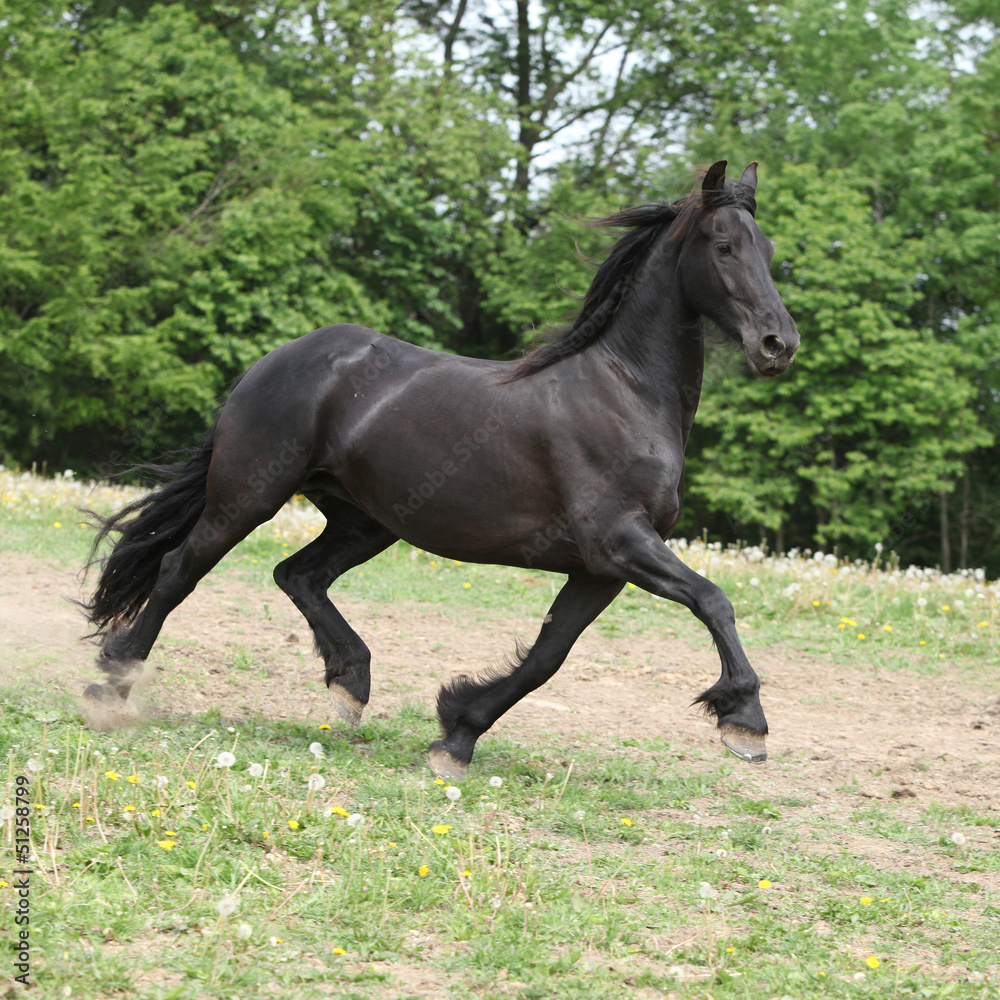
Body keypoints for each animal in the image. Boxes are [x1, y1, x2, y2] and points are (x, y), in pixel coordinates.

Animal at [84, 160, 796, 776]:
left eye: (767, 250)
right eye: (724, 246)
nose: (777, 344)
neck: (624, 393)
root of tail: (276, 359)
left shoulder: (599, 569)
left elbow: (548, 656)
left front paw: (456, 733)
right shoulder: (619, 541)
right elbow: (713, 600)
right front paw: (746, 722)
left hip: (366, 521)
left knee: (297, 574)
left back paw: (350, 684)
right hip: (250, 493)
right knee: (179, 570)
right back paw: (113, 686)